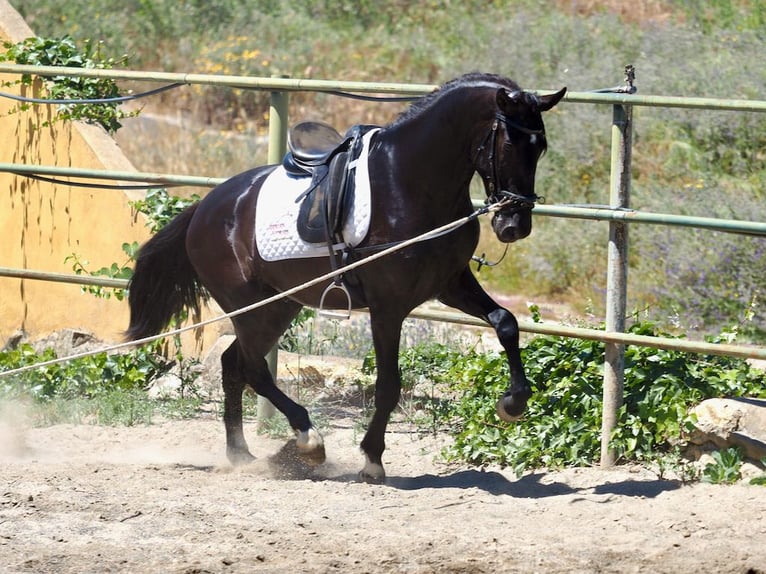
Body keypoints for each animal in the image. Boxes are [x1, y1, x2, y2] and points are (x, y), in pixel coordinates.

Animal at [126, 74, 568, 484]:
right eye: (509, 143)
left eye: (541, 147)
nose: (514, 226)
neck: (409, 182)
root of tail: (203, 208)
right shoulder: (388, 307)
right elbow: (389, 384)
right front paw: (372, 459)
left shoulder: (451, 285)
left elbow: (506, 323)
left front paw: (513, 402)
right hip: (250, 307)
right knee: (251, 368)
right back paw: (308, 441)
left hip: (277, 306)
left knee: (235, 365)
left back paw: (243, 455)